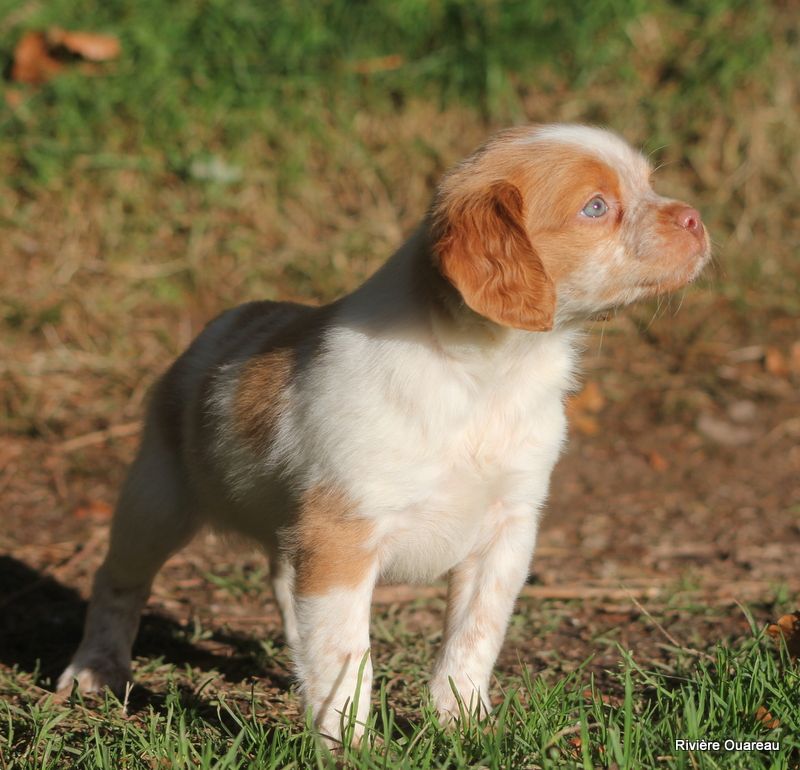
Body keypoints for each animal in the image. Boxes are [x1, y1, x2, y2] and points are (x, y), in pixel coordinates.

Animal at [62, 124, 708, 744]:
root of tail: (220, 323)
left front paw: (463, 727)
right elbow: (348, 660)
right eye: (596, 207)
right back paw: (96, 671)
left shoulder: (507, 531)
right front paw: (349, 747)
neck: (488, 376)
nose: (697, 218)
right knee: (118, 581)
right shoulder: (341, 535)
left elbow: (471, 640)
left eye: (649, 185)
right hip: (157, 500)